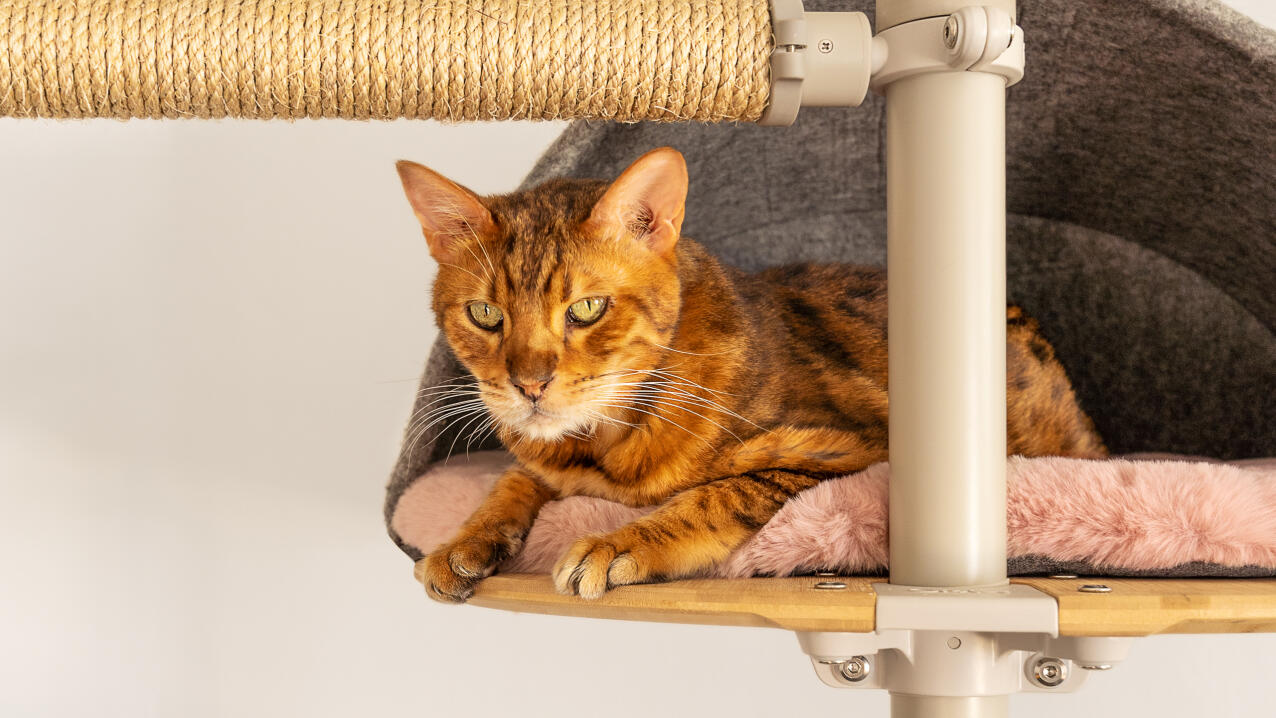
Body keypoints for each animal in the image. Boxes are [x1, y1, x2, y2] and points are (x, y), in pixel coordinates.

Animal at [393, 149, 1102, 604]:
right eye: (486, 314)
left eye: (587, 309)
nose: (530, 384)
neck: (605, 448)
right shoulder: (543, 459)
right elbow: (511, 482)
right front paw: (466, 540)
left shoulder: (849, 449)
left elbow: (717, 493)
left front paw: (622, 543)